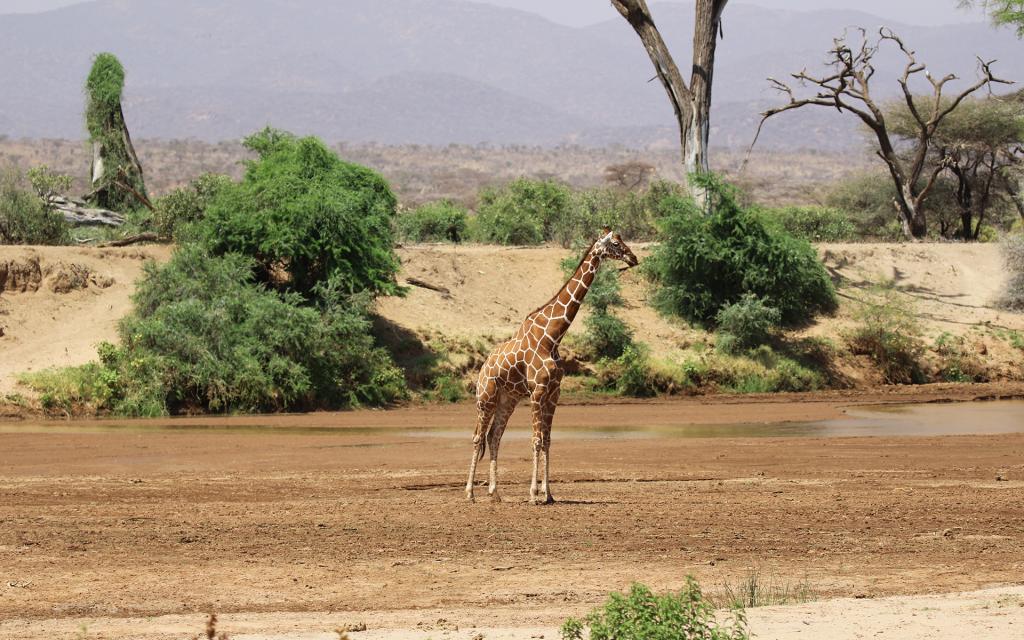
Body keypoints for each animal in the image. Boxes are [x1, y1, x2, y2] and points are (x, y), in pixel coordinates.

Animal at [466, 228, 638, 503]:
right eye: (614, 243)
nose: (633, 258)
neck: (553, 336)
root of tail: (482, 368)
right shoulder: (537, 391)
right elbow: (536, 440)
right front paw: (533, 494)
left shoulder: (554, 393)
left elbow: (547, 440)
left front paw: (548, 494)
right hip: (486, 398)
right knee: (477, 437)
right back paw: (470, 493)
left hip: (508, 400)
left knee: (494, 437)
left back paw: (495, 493)